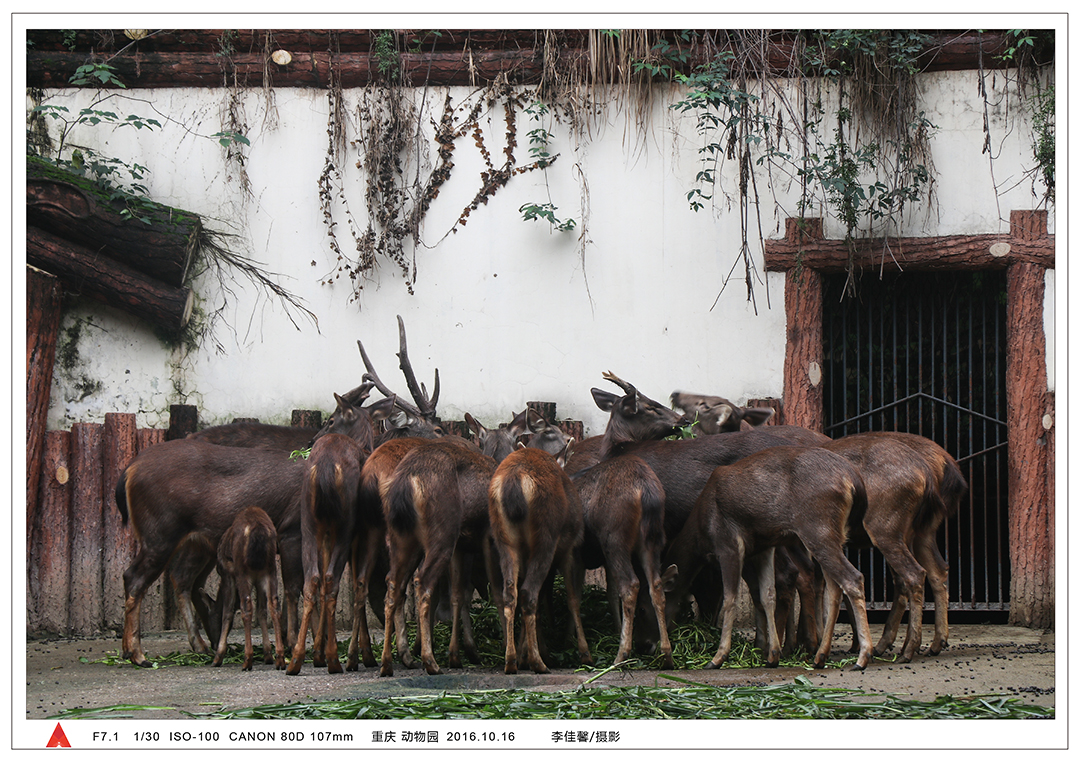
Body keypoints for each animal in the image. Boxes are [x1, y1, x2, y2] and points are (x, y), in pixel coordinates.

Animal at [211, 506, 286, 671]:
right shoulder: (258, 579)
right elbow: (262, 611)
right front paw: (267, 654)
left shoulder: (227, 575)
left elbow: (227, 612)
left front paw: (218, 657)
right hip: (270, 570)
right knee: (274, 605)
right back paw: (280, 659)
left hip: (242, 572)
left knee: (246, 607)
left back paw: (247, 660)